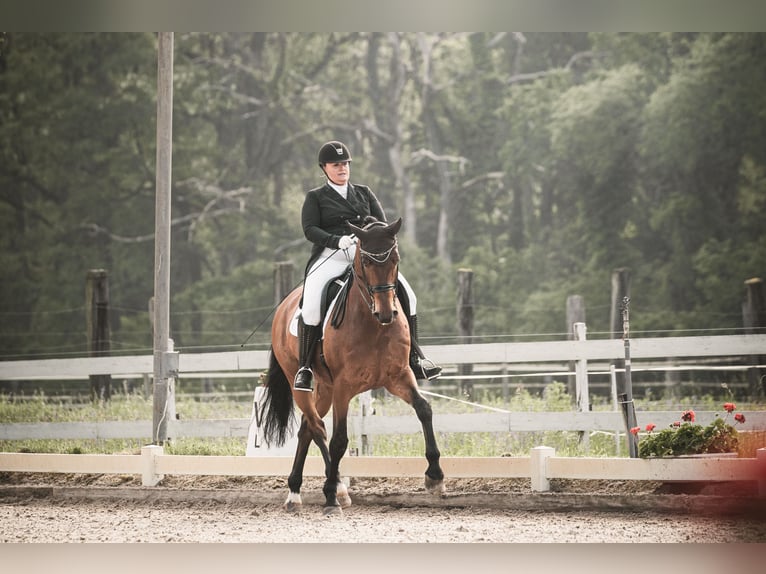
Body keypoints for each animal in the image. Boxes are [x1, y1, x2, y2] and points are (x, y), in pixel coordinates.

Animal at [260, 216, 445, 515]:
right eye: (367, 262)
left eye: (395, 259)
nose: (386, 313)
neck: (373, 324)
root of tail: (284, 306)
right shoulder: (344, 387)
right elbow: (339, 440)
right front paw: (330, 498)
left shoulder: (399, 376)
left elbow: (424, 409)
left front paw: (435, 477)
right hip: (300, 383)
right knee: (317, 427)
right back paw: (335, 490)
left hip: (324, 387)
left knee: (307, 427)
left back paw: (296, 493)